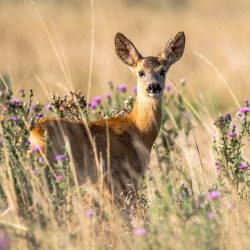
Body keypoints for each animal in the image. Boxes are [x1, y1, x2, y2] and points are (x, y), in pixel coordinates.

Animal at [29, 31, 186, 205]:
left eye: (163, 71)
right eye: (141, 72)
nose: (153, 87)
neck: (138, 130)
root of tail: (34, 133)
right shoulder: (118, 178)